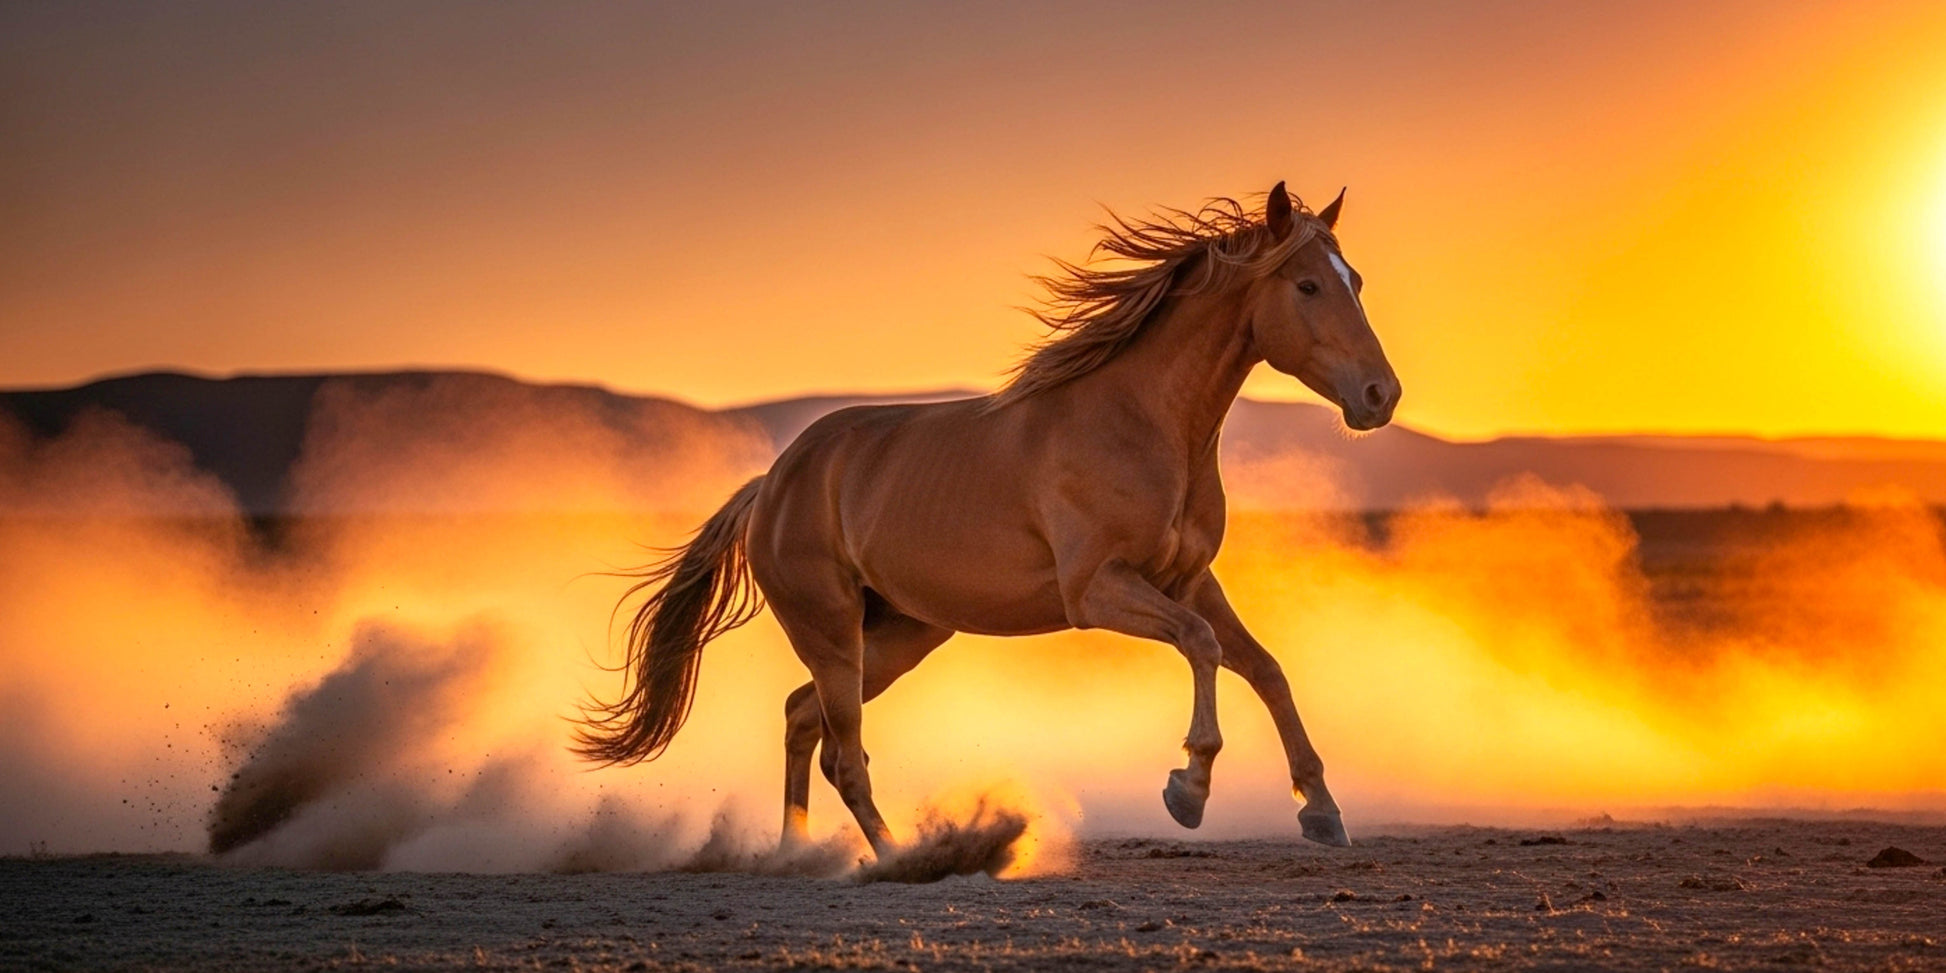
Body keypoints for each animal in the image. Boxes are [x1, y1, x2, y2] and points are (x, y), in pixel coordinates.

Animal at [575, 181, 1400, 854]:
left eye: (1355, 280)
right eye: (1307, 284)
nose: (1380, 395)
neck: (1140, 422)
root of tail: (771, 486)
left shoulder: (1190, 579)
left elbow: (1264, 667)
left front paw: (1321, 810)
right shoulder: (1096, 590)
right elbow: (1201, 646)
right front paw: (1187, 789)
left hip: (898, 636)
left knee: (802, 718)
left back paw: (799, 855)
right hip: (833, 633)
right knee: (843, 751)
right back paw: (901, 859)